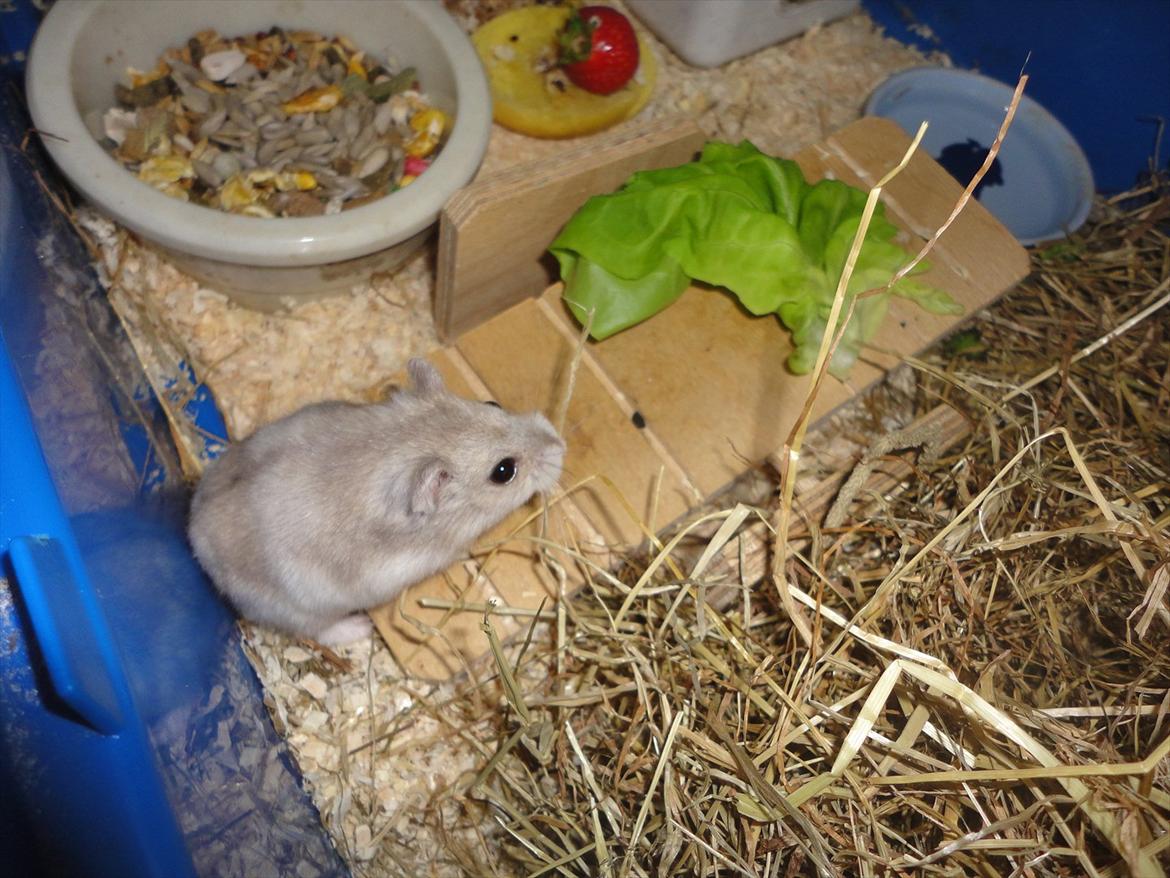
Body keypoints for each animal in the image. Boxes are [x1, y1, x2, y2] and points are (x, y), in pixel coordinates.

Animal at [188, 358, 565, 645]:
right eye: (504, 471)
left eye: (493, 404)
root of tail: (195, 536)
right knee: (317, 632)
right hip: (300, 610)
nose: (560, 445)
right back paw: (360, 627)